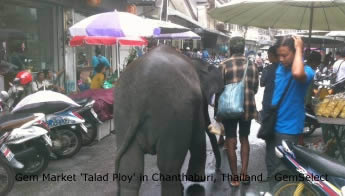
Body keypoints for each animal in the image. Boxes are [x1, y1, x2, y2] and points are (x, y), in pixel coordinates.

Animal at [113, 45, 223, 196]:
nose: (217, 169)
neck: (194, 61)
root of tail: (140, 94)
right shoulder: (196, 103)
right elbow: (198, 137)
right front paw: (196, 179)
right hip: (174, 117)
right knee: (168, 167)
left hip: (123, 114)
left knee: (131, 167)